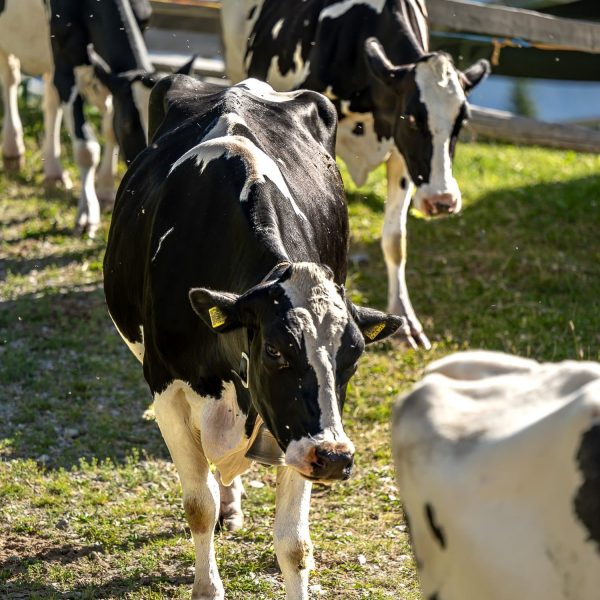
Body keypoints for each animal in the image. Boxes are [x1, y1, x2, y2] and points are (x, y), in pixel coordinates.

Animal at [0, 0, 157, 239]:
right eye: (128, 126)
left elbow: (109, 126)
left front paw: (106, 190)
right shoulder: (66, 61)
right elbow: (86, 149)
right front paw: (87, 214)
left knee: (50, 97)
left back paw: (54, 172)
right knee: (10, 76)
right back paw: (12, 150)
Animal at [103, 76, 404, 600]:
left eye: (353, 357)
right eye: (276, 350)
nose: (335, 457)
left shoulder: (290, 428)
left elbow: (294, 544)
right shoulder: (167, 392)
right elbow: (197, 505)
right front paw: (207, 587)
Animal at [220, 0, 488, 350]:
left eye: (462, 120)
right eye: (413, 117)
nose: (442, 200)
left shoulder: (401, 154)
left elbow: (395, 240)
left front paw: (406, 320)